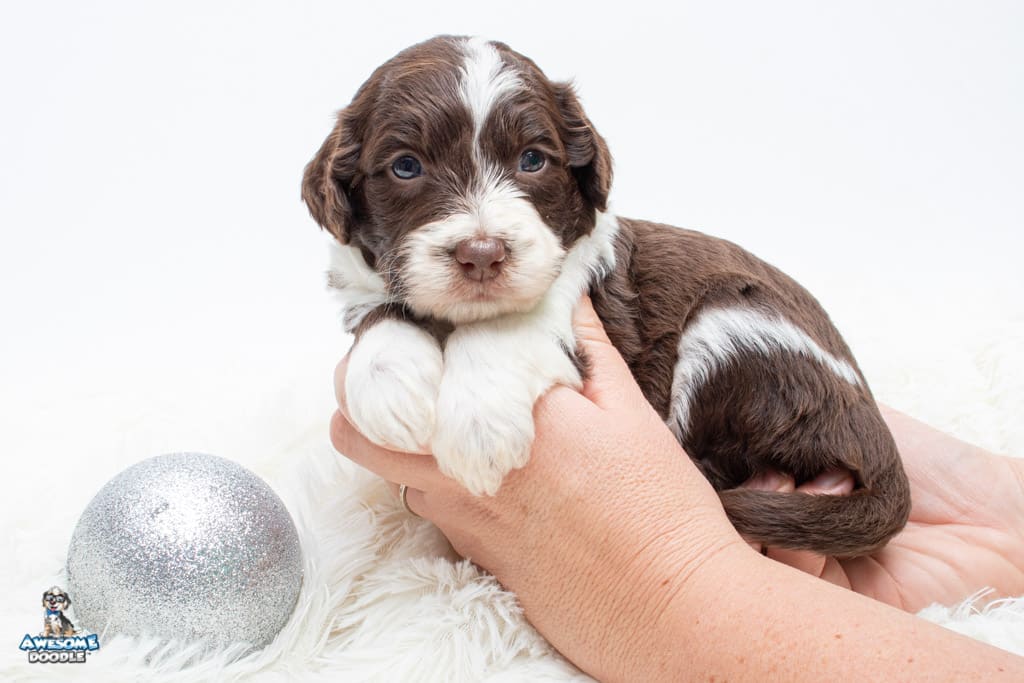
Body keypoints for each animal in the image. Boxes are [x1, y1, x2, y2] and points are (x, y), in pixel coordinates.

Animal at [303, 36, 913, 557]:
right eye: (405, 166)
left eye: (532, 159)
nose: (482, 253)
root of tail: (877, 435)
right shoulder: (366, 283)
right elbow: (380, 317)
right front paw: (391, 393)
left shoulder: (587, 299)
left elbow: (508, 326)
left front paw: (479, 430)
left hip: (731, 327)